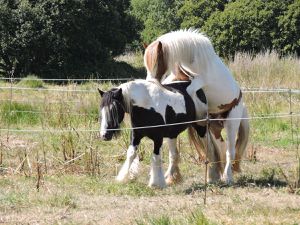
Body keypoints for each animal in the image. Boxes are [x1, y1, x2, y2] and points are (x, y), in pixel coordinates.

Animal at [144, 28, 250, 183]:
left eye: (157, 62)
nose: (149, 84)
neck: (193, 59)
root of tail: (240, 100)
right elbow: (170, 83)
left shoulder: (199, 82)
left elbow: (189, 89)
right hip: (214, 128)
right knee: (221, 146)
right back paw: (216, 175)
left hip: (231, 123)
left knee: (230, 151)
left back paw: (228, 177)